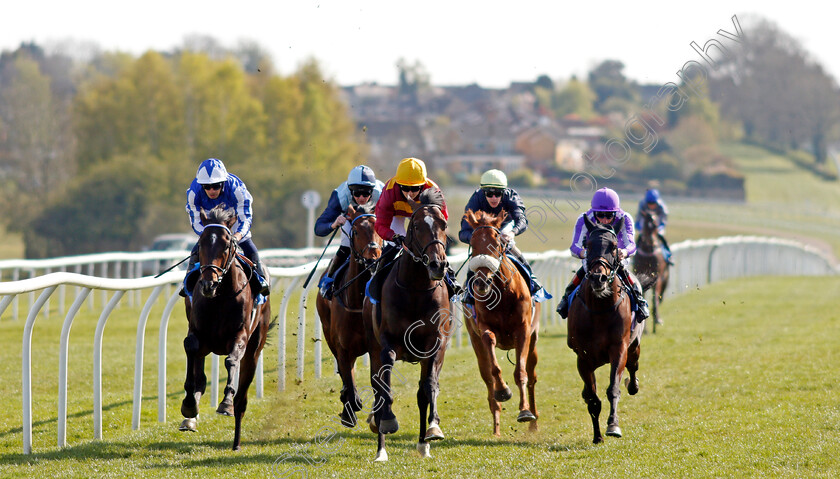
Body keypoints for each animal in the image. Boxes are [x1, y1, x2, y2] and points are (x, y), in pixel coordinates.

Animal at [180, 205, 272, 450]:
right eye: (201, 242)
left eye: (227, 243)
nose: (208, 284)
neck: (220, 297)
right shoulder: (197, 334)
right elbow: (191, 351)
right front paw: (189, 405)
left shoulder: (240, 335)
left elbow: (231, 361)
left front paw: (226, 402)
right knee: (201, 378)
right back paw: (190, 419)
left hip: (255, 348)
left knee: (243, 398)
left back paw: (236, 441)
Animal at [314, 204, 382, 430]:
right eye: (357, 231)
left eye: (380, 230)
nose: (373, 257)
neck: (357, 302)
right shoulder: (343, 348)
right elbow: (349, 384)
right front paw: (349, 410)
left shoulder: (377, 348)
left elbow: (377, 383)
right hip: (328, 335)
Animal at [360, 189, 452, 464]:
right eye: (417, 225)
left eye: (444, 225)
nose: (437, 265)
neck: (416, 290)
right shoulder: (387, 344)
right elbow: (385, 387)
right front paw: (388, 421)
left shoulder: (435, 345)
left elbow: (429, 388)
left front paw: (433, 429)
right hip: (373, 348)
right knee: (378, 390)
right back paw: (381, 450)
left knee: (423, 392)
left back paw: (423, 444)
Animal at [460, 208, 540, 436]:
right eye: (472, 243)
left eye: (496, 243)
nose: (481, 282)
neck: (502, 294)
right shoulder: (484, 330)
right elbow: (494, 368)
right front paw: (503, 390)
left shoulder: (523, 332)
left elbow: (521, 372)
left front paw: (525, 412)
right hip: (476, 344)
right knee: (487, 378)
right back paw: (496, 429)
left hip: (533, 343)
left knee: (532, 376)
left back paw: (533, 422)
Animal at [564, 216, 644, 444]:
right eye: (588, 245)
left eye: (614, 246)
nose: (598, 278)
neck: (599, 309)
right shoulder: (583, 358)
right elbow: (592, 398)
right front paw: (597, 436)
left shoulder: (619, 349)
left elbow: (613, 389)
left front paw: (613, 426)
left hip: (634, 346)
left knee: (633, 366)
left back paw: (633, 384)